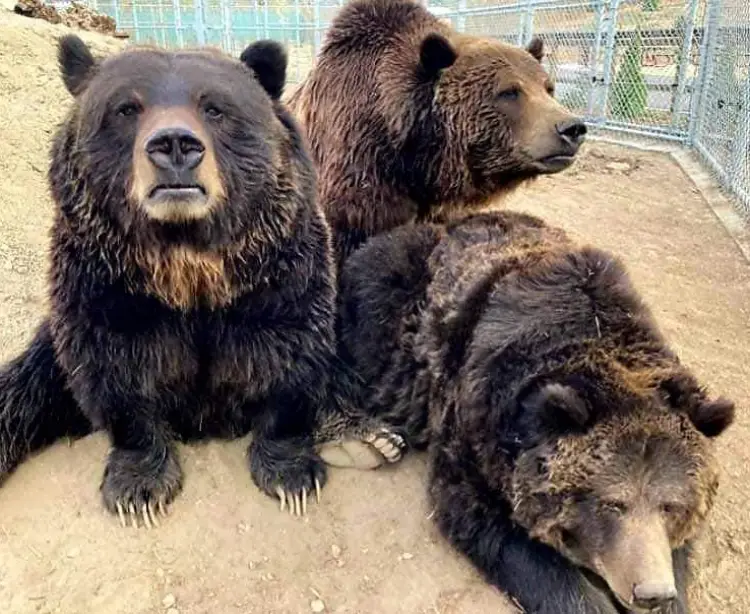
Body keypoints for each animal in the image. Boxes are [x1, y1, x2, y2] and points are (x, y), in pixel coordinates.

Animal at [0, 34, 404, 528]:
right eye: (126, 108)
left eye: (214, 108)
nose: (175, 144)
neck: (187, 267)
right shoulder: (104, 288)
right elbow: (112, 371)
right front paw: (138, 489)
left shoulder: (278, 280)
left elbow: (291, 359)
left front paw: (291, 476)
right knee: (26, 385)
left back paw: (363, 437)